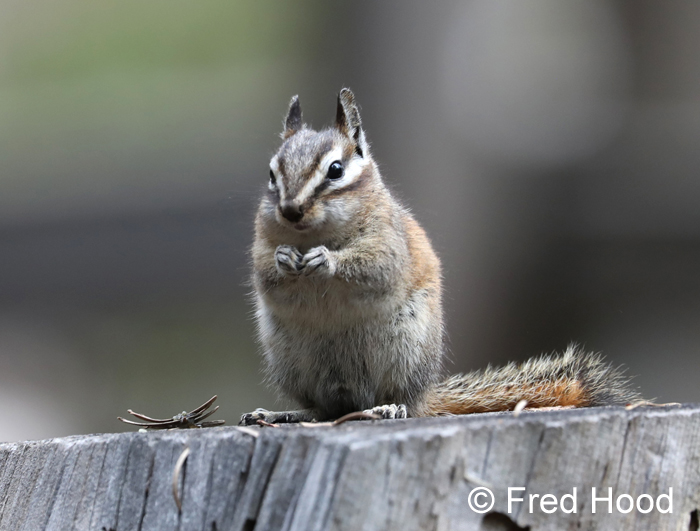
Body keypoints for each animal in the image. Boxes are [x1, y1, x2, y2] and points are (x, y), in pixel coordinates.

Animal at [239, 89, 641, 425]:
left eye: (336, 170)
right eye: (272, 174)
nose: (290, 210)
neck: (313, 234)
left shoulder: (389, 244)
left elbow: (374, 268)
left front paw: (325, 260)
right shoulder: (260, 243)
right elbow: (264, 273)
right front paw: (284, 258)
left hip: (402, 351)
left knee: (391, 400)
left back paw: (388, 407)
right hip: (293, 361)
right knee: (322, 409)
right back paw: (280, 414)